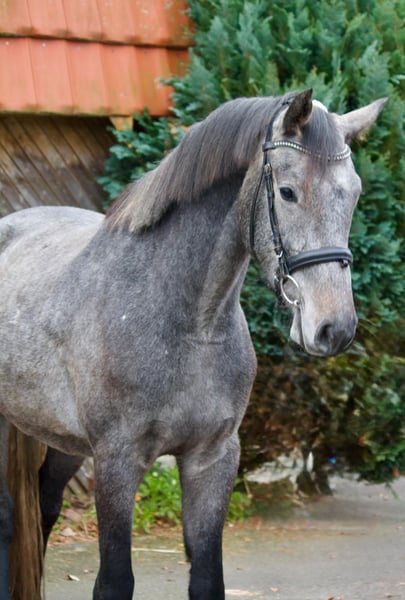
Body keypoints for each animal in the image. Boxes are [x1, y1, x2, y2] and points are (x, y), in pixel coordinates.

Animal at [0, 89, 386, 600]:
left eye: (355, 194)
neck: (190, 326)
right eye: (287, 192)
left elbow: (206, 579)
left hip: (65, 443)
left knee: (42, 508)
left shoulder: (213, 459)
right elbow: (114, 581)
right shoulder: (117, 462)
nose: (333, 328)